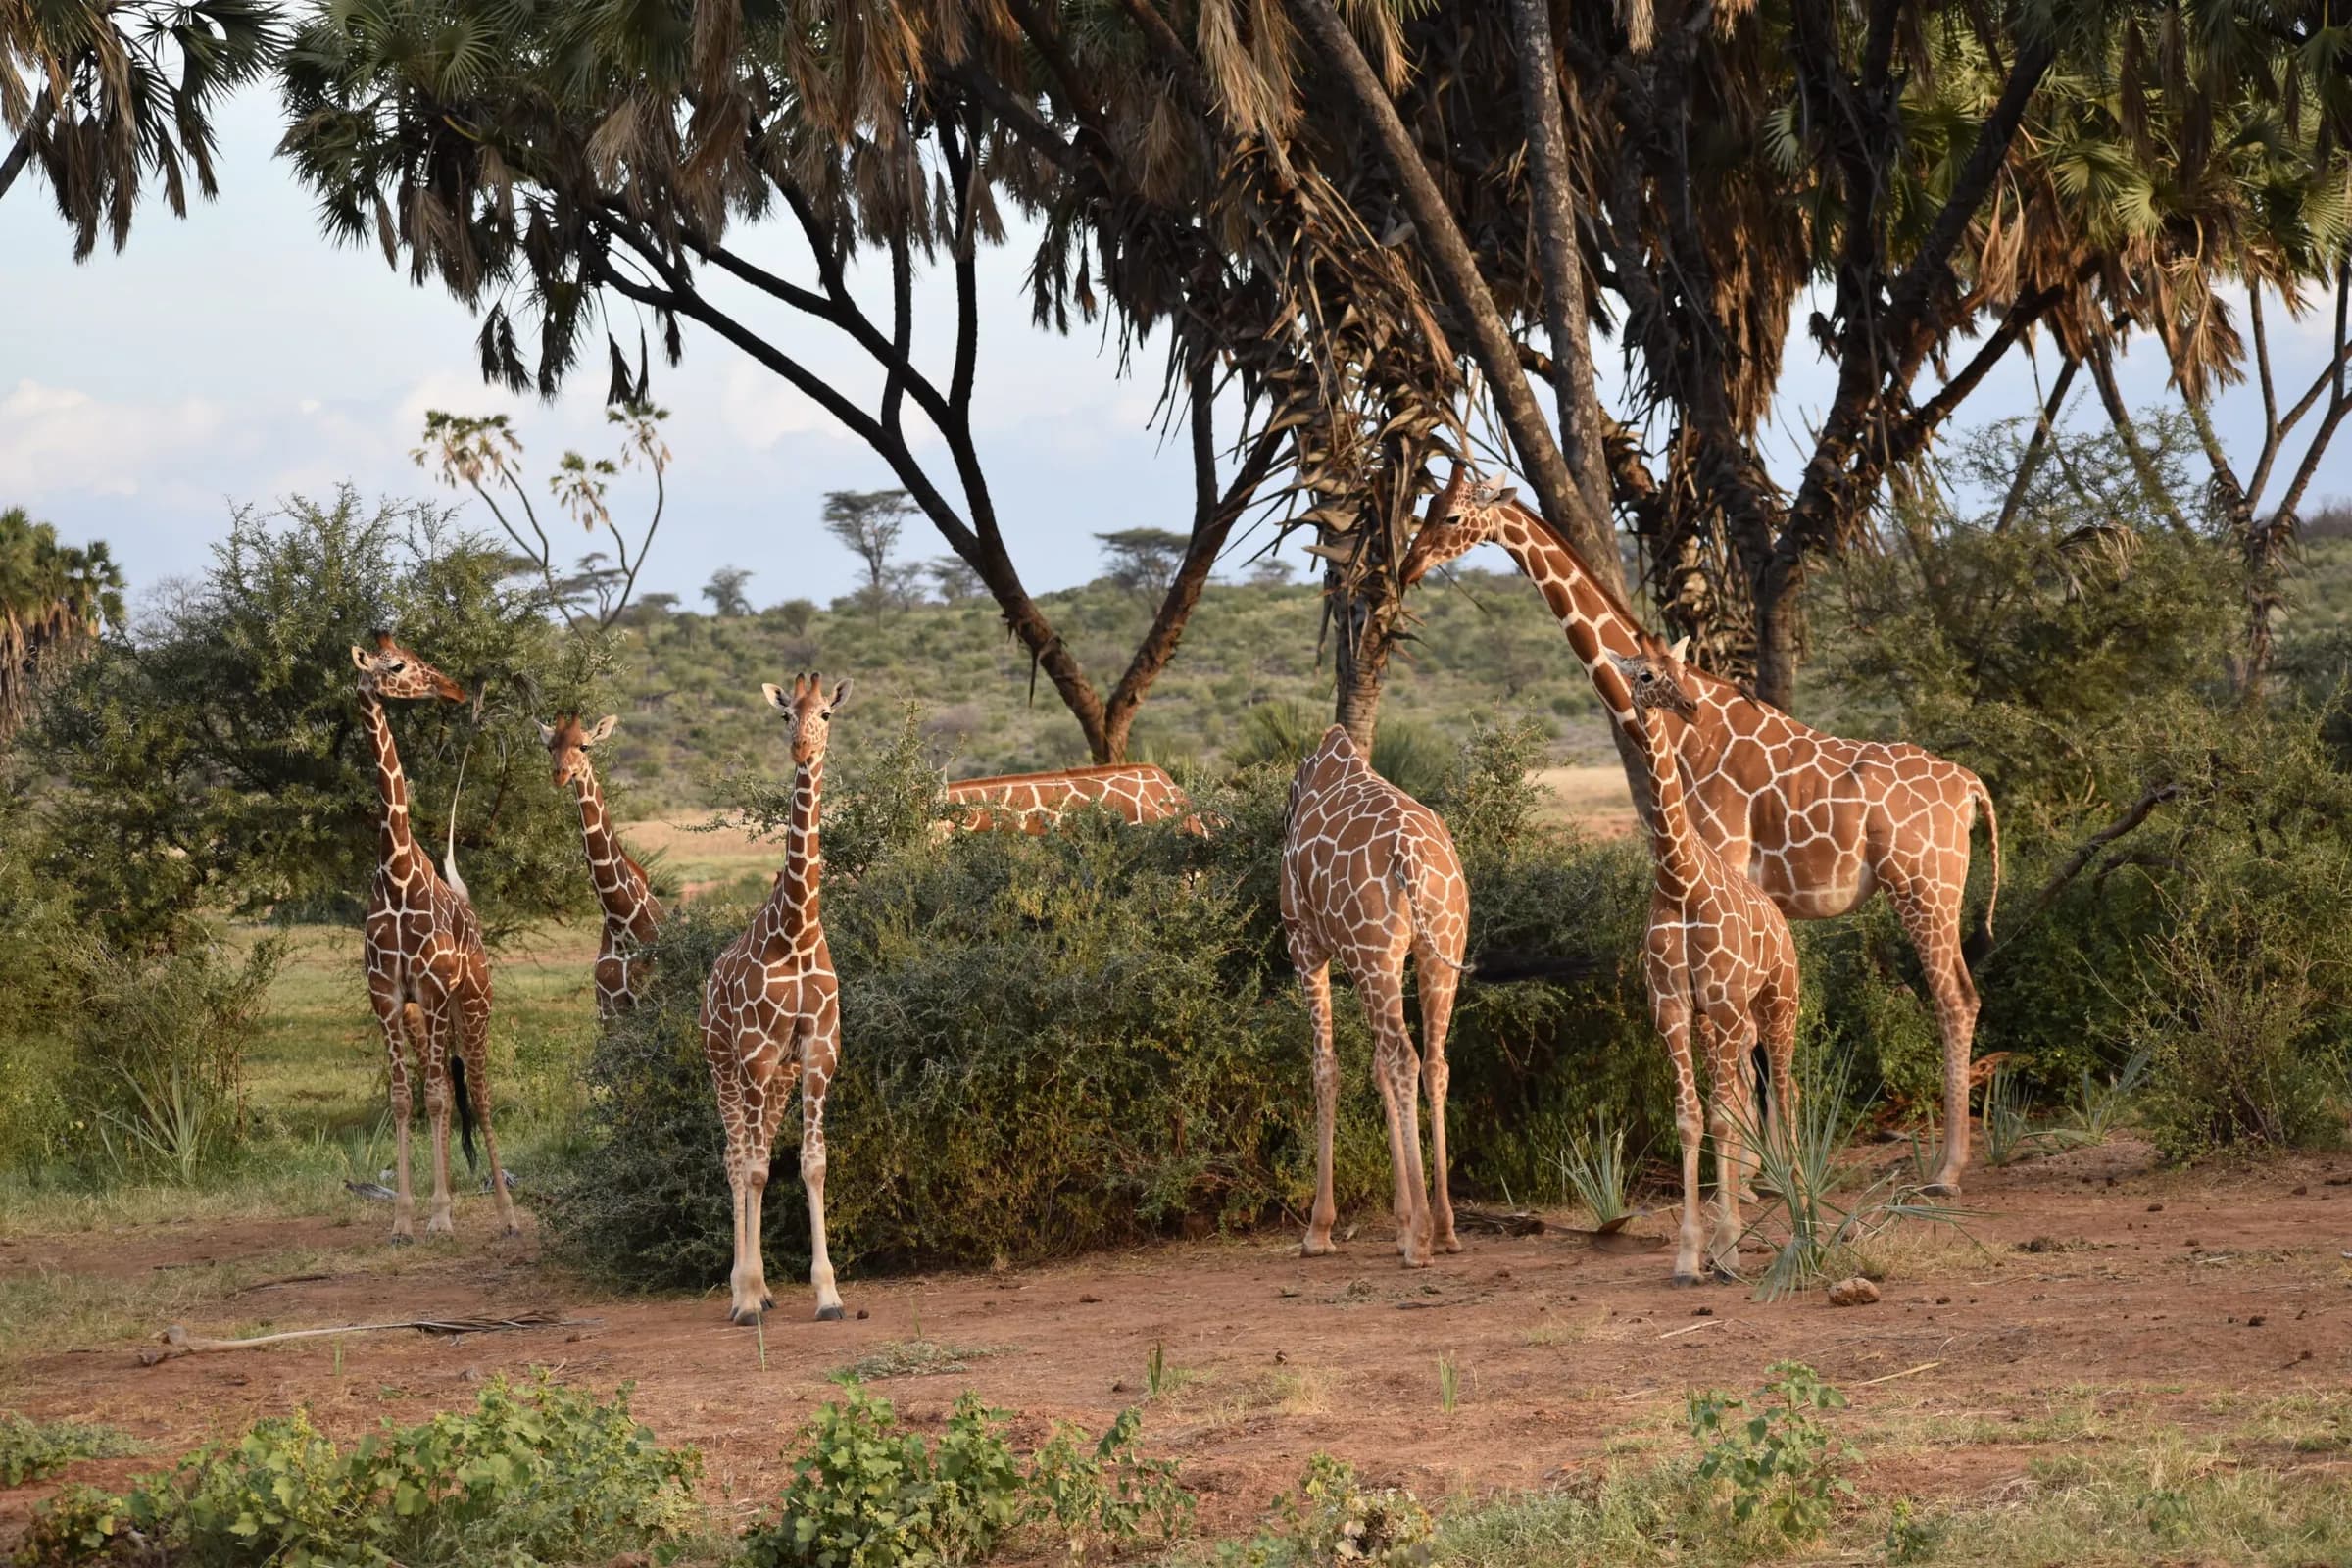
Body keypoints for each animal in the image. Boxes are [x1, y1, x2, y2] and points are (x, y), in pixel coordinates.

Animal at [351, 631, 518, 1242]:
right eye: (397, 666)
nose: (450, 688)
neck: (397, 871)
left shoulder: (435, 989)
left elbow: (442, 1099)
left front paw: (442, 1215)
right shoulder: (388, 995)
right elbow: (408, 1100)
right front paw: (404, 1218)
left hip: (474, 1004)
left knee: (481, 1097)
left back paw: (506, 1215)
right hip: (428, 1016)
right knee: (442, 1088)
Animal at [540, 714, 663, 1020]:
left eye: (584, 746)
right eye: (550, 747)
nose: (560, 775)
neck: (621, 922)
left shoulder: (653, 1002)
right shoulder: (610, 1011)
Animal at [1280, 726, 1470, 1268]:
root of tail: (1410, 858)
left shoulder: (1305, 942)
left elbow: (1326, 1068)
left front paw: (1318, 1231)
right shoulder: (1369, 958)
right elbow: (1378, 1069)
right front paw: (1401, 1224)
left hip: (1374, 950)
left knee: (1404, 1057)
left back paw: (1422, 1239)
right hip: (1436, 947)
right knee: (1432, 1063)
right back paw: (1443, 1229)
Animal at [1404, 469, 2000, 1193]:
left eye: (1451, 515)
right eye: (1424, 505)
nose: (1407, 566)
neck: (1683, 733)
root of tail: (1969, 788)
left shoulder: (1722, 868)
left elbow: (1735, 1046)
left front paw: (1746, 1174)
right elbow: (1748, 1046)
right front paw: (1762, 1169)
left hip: (1924, 886)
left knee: (1957, 999)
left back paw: (1947, 1169)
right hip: (1931, 889)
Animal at [1609, 638, 1799, 1284]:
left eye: (1682, 669)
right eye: (1645, 674)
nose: (1690, 706)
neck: (1681, 881)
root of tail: (1783, 924)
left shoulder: (1721, 1001)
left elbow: (1719, 1117)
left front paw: (1729, 1247)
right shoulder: (1672, 1008)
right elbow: (1692, 1118)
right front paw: (1693, 1254)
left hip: (1776, 1005)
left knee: (1784, 1091)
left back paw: (1802, 1210)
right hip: (1730, 1022)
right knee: (1745, 1093)